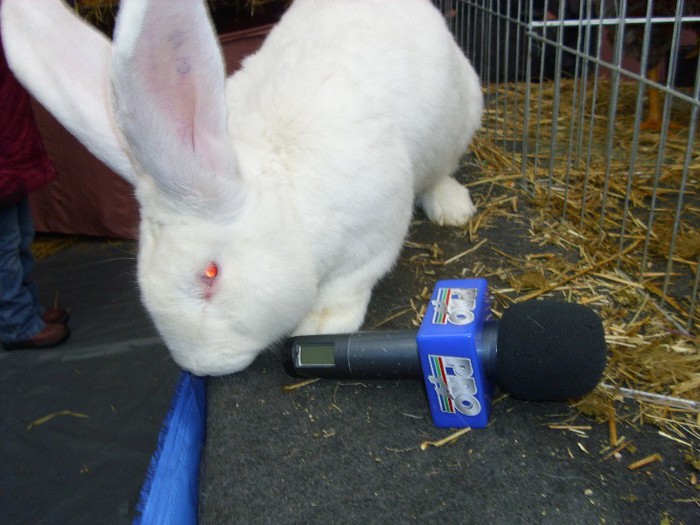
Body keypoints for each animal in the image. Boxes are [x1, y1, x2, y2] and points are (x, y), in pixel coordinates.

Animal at [1, 0, 482, 374]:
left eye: (210, 274)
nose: (200, 368)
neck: (290, 204)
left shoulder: (375, 229)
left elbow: (348, 284)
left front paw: (320, 325)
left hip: (458, 120)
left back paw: (451, 207)